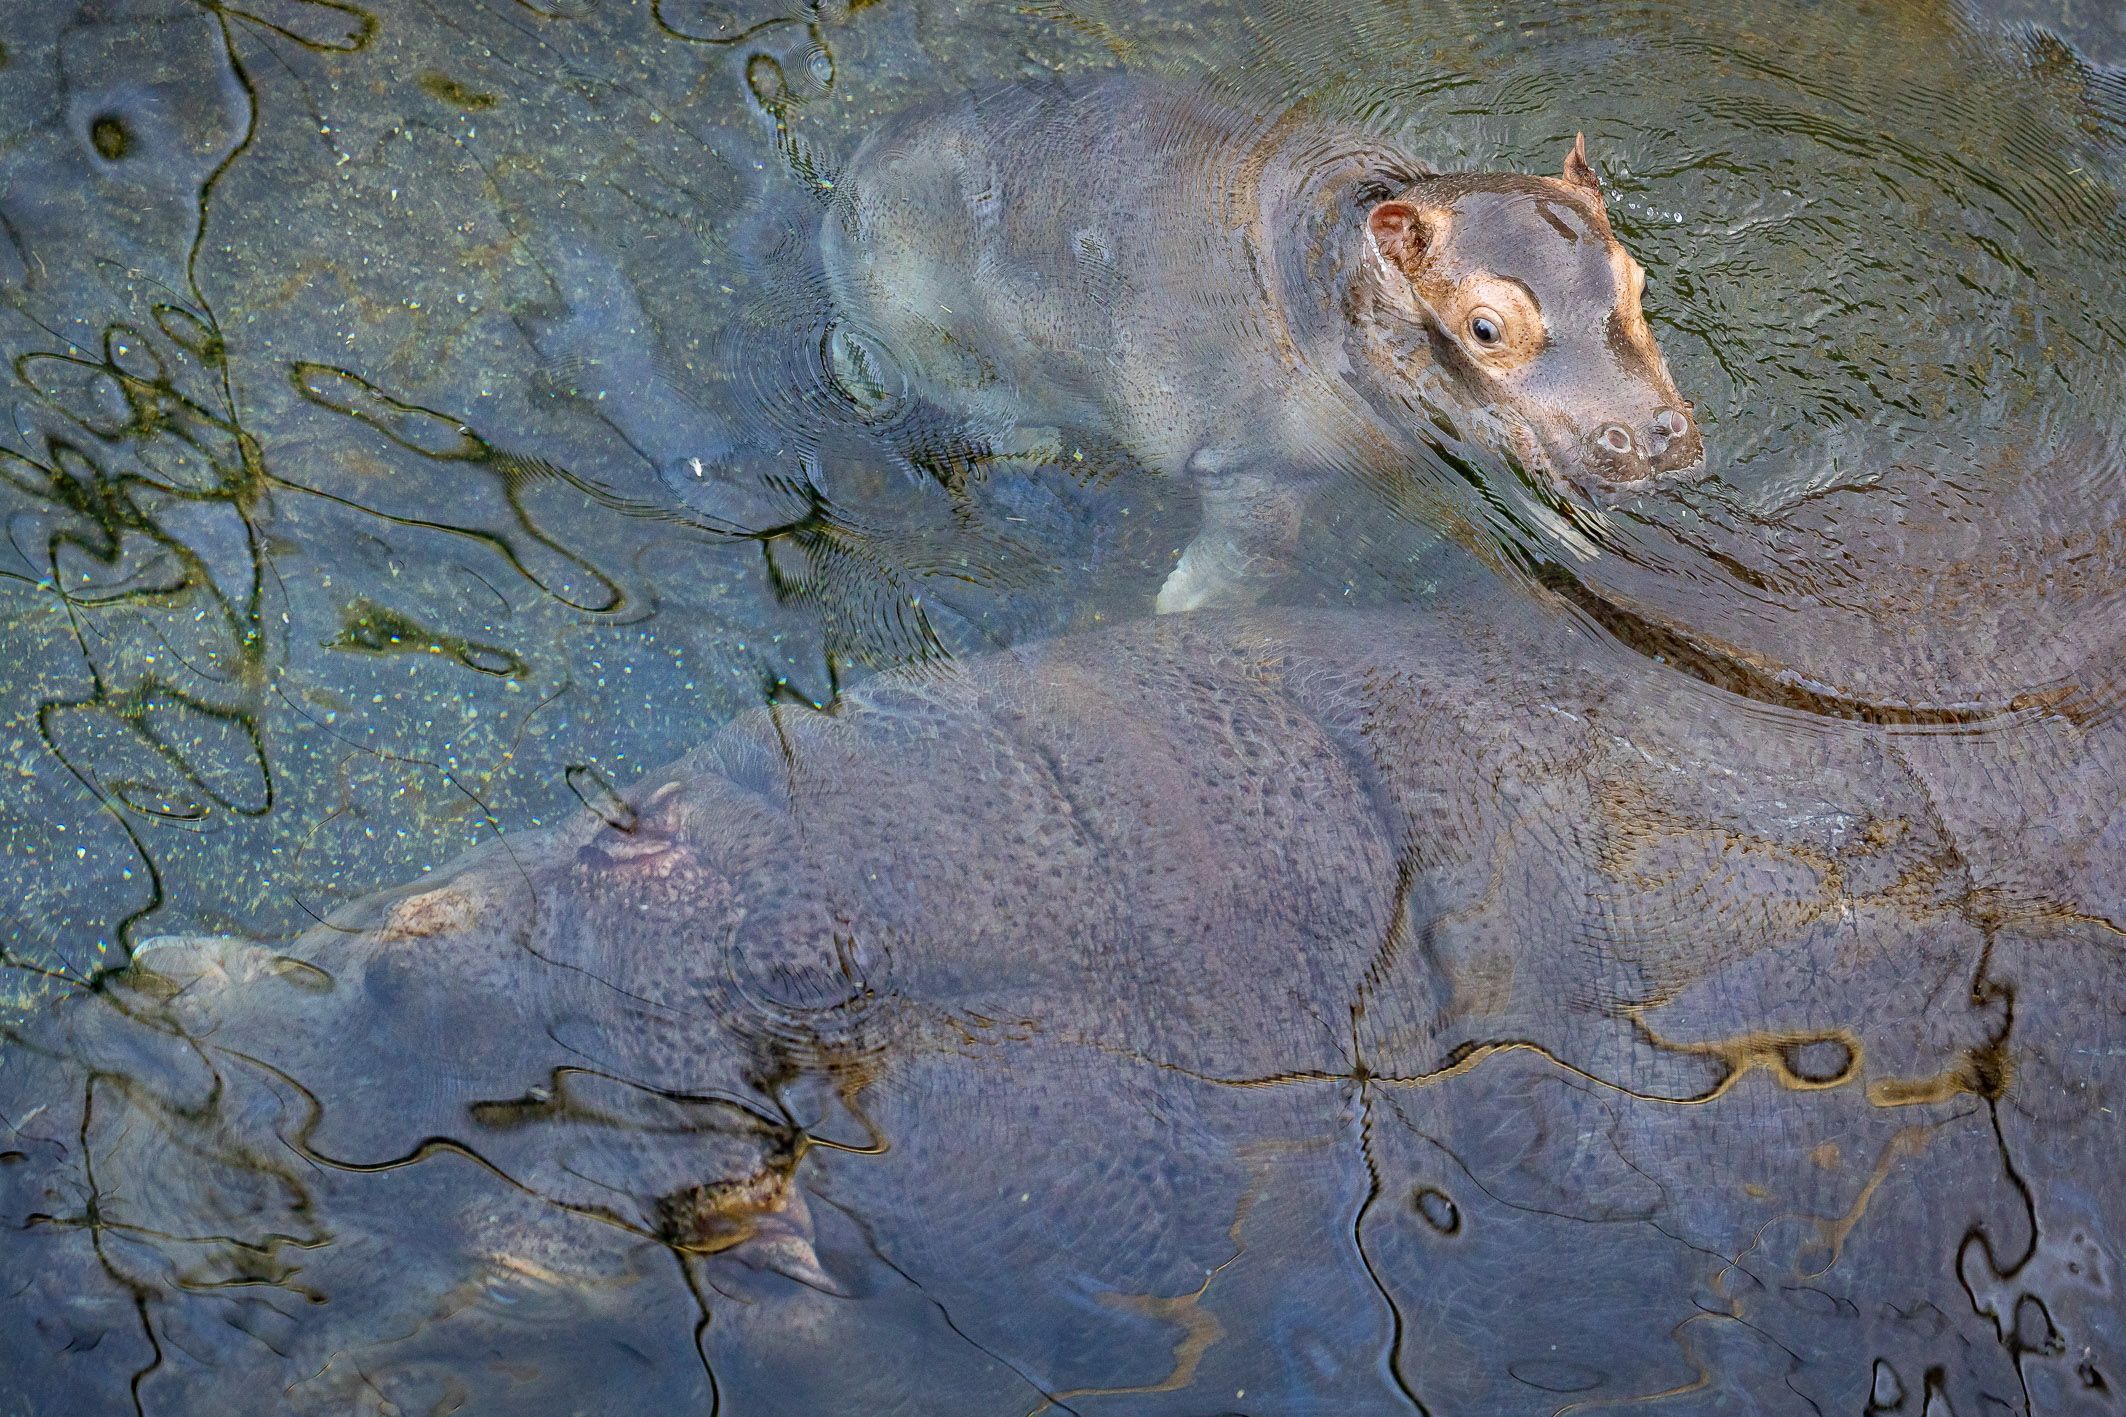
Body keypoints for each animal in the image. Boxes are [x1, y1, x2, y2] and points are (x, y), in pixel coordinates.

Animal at [821, 76, 1703, 612]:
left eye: (1638, 277)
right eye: (1485, 328)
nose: (1656, 435)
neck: (1346, 269)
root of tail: (850, 176)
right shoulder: (1253, 466)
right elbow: (1247, 561)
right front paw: (1180, 609)